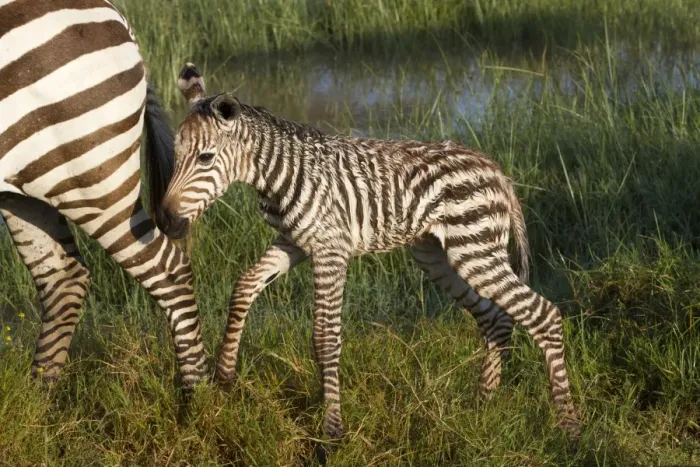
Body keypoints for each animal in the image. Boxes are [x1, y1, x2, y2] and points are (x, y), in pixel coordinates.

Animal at [0, 1, 207, 392]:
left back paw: (198, 396)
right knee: (62, 278)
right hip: (29, 180)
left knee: (168, 270)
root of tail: (116, 15)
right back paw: (38, 399)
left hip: (90, 174)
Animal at [157, 63, 580, 439]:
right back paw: (483, 405)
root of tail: (496, 170)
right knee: (496, 318)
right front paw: (225, 374)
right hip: (440, 256)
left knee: (543, 315)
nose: (167, 223)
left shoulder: (330, 250)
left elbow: (325, 338)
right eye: (175, 156)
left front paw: (332, 431)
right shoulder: (294, 242)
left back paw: (568, 428)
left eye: (206, 158)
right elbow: (244, 287)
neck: (280, 175)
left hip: (474, 251)